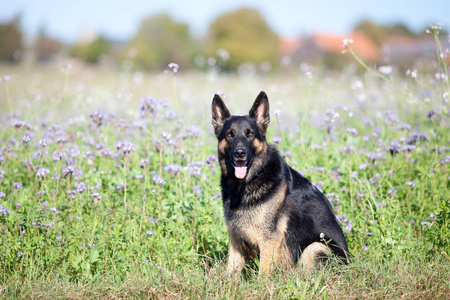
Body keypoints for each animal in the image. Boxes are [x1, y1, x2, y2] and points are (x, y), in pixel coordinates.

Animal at [213, 91, 350, 274]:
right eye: (230, 134)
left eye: (250, 134)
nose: (239, 153)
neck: (251, 179)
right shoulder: (235, 240)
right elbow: (231, 271)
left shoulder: (268, 240)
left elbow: (263, 273)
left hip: (315, 248)